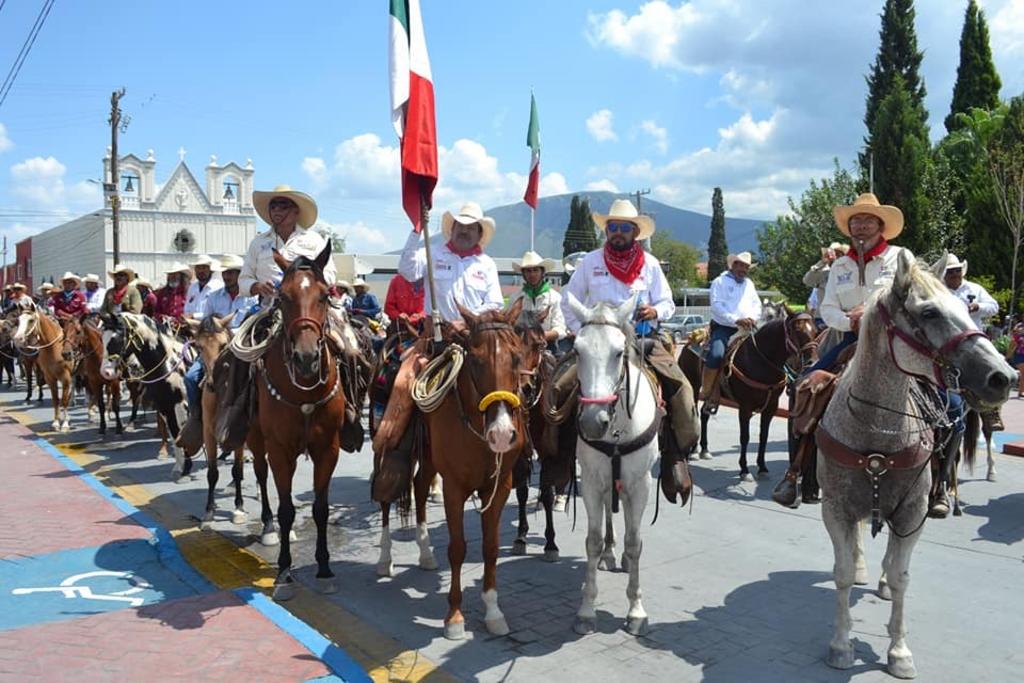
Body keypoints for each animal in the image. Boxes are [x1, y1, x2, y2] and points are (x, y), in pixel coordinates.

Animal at [569, 296, 663, 638]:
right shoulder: (592, 482)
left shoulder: (641, 485)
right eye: (577, 350)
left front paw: (636, 610)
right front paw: (586, 610)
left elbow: (635, 542)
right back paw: (610, 553)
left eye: (619, 352)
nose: (592, 422)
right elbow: (593, 541)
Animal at [679, 309, 815, 481]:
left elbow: (763, 436)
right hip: (694, 386)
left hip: (713, 395)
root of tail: (689, 341)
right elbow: (745, 437)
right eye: (797, 330)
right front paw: (744, 469)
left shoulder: (771, 407)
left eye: (815, 329)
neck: (760, 360)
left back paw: (704, 449)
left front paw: (762, 467)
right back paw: (694, 451)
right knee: (696, 413)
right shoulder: (745, 407)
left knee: (704, 414)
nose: (812, 362)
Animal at [811, 250, 1011, 679]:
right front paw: (841, 644)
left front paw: (899, 651)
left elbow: (902, 576)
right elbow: (842, 573)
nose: (1003, 376)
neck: (876, 430)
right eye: (930, 312)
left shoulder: (911, 512)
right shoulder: (835, 509)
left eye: (966, 307)